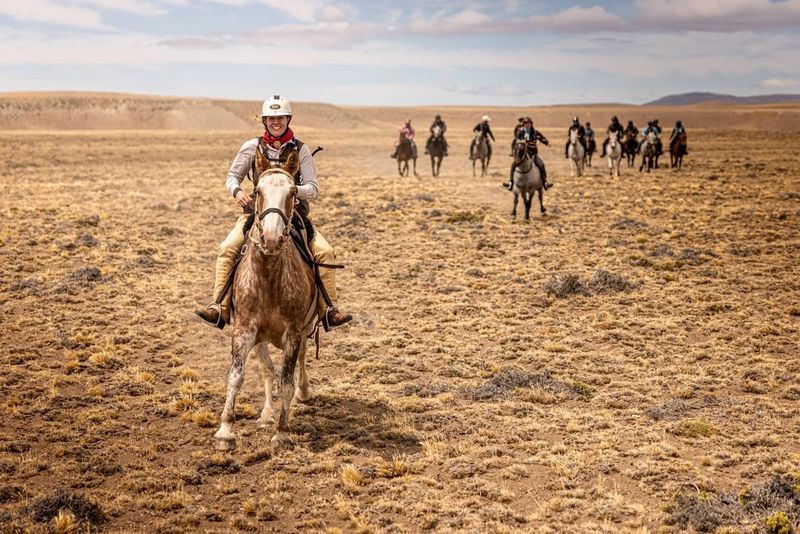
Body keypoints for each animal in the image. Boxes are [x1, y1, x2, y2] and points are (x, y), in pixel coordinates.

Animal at [216, 151, 322, 452]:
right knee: (266, 369)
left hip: (305, 328)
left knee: (300, 361)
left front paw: (282, 432)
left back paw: (303, 392)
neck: (269, 276)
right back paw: (265, 414)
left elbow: (286, 380)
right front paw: (225, 431)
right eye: (257, 192)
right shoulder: (244, 330)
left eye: (293, 192)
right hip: (261, 336)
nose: (271, 238)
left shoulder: (294, 332)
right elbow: (237, 376)